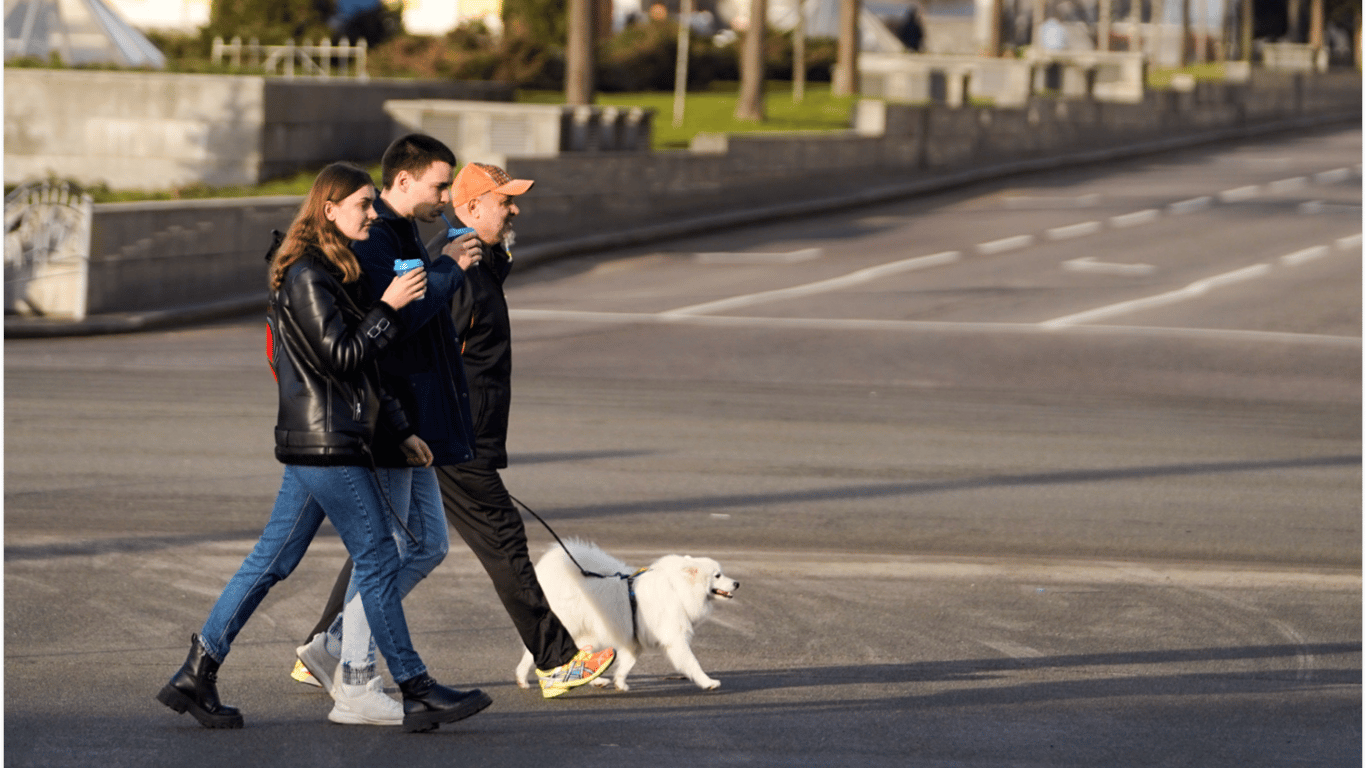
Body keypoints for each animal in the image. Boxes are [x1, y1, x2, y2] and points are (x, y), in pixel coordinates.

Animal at [516, 538, 743, 688]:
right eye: (717, 575)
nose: (737, 583)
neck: (678, 589)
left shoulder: (635, 639)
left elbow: (627, 663)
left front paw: (620, 683)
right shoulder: (675, 638)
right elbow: (692, 662)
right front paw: (708, 682)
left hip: (589, 633)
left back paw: (596, 680)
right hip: (572, 626)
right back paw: (523, 678)